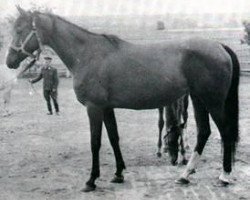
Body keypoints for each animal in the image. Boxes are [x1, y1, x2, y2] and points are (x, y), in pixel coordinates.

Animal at [6, 7, 240, 192]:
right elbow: (113, 138)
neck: (88, 54)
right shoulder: (107, 108)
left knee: (225, 132)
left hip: (212, 102)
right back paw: (185, 175)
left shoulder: (94, 108)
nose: (9, 61)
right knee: (204, 132)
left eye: (20, 30)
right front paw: (118, 174)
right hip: (198, 99)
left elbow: (95, 142)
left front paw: (91, 180)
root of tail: (219, 46)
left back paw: (224, 176)